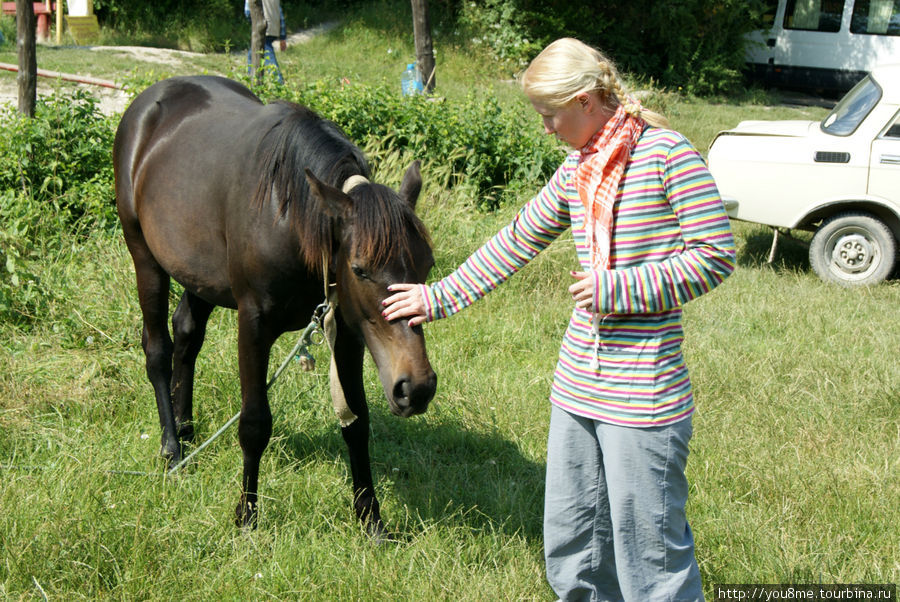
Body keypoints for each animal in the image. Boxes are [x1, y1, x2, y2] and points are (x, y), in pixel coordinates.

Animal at [114, 75, 438, 528]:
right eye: (359, 269)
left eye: (427, 265)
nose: (417, 388)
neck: (290, 218)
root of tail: (150, 100)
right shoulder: (253, 323)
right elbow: (254, 424)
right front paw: (246, 516)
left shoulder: (346, 328)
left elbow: (356, 422)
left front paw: (371, 520)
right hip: (144, 255)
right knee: (158, 349)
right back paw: (172, 449)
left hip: (199, 274)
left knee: (187, 336)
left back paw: (186, 427)